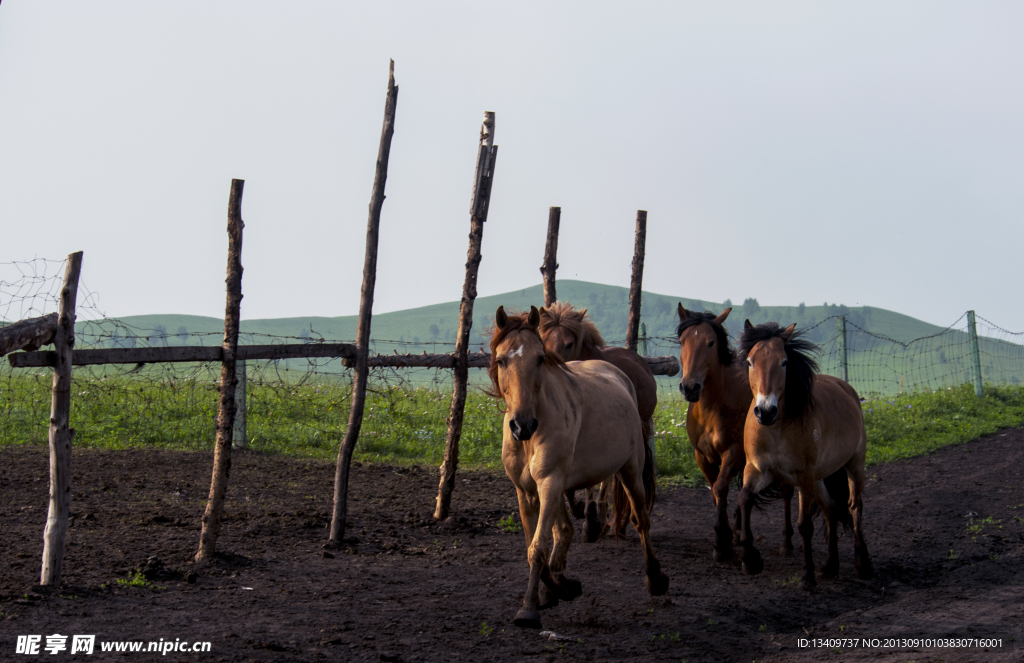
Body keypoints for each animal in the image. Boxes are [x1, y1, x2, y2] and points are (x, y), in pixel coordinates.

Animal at [675, 305, 794, 561]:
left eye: (710, 343)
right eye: (682, 341)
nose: (690, 387)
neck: (713, 406)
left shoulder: (734, 453)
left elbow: (721, 487)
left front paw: (721, 542)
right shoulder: (702, 456)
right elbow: (715, 490)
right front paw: (728, 536)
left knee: (787, 491)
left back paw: (786, 542)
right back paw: (740, 532)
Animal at [737, 323, 872, 590]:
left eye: (784, 362)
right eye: (749, 361)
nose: (765, 411)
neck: (775, 429)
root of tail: (848, 389)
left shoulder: (802, 476)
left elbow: (805, 525)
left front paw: (807, 575)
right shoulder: (757, 470)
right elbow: (745, 499)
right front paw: (750, 560)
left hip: (853, 465)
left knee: (854, 506)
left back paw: (862, 564)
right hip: (818, 479)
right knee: (831, 510)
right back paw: (830, 566)